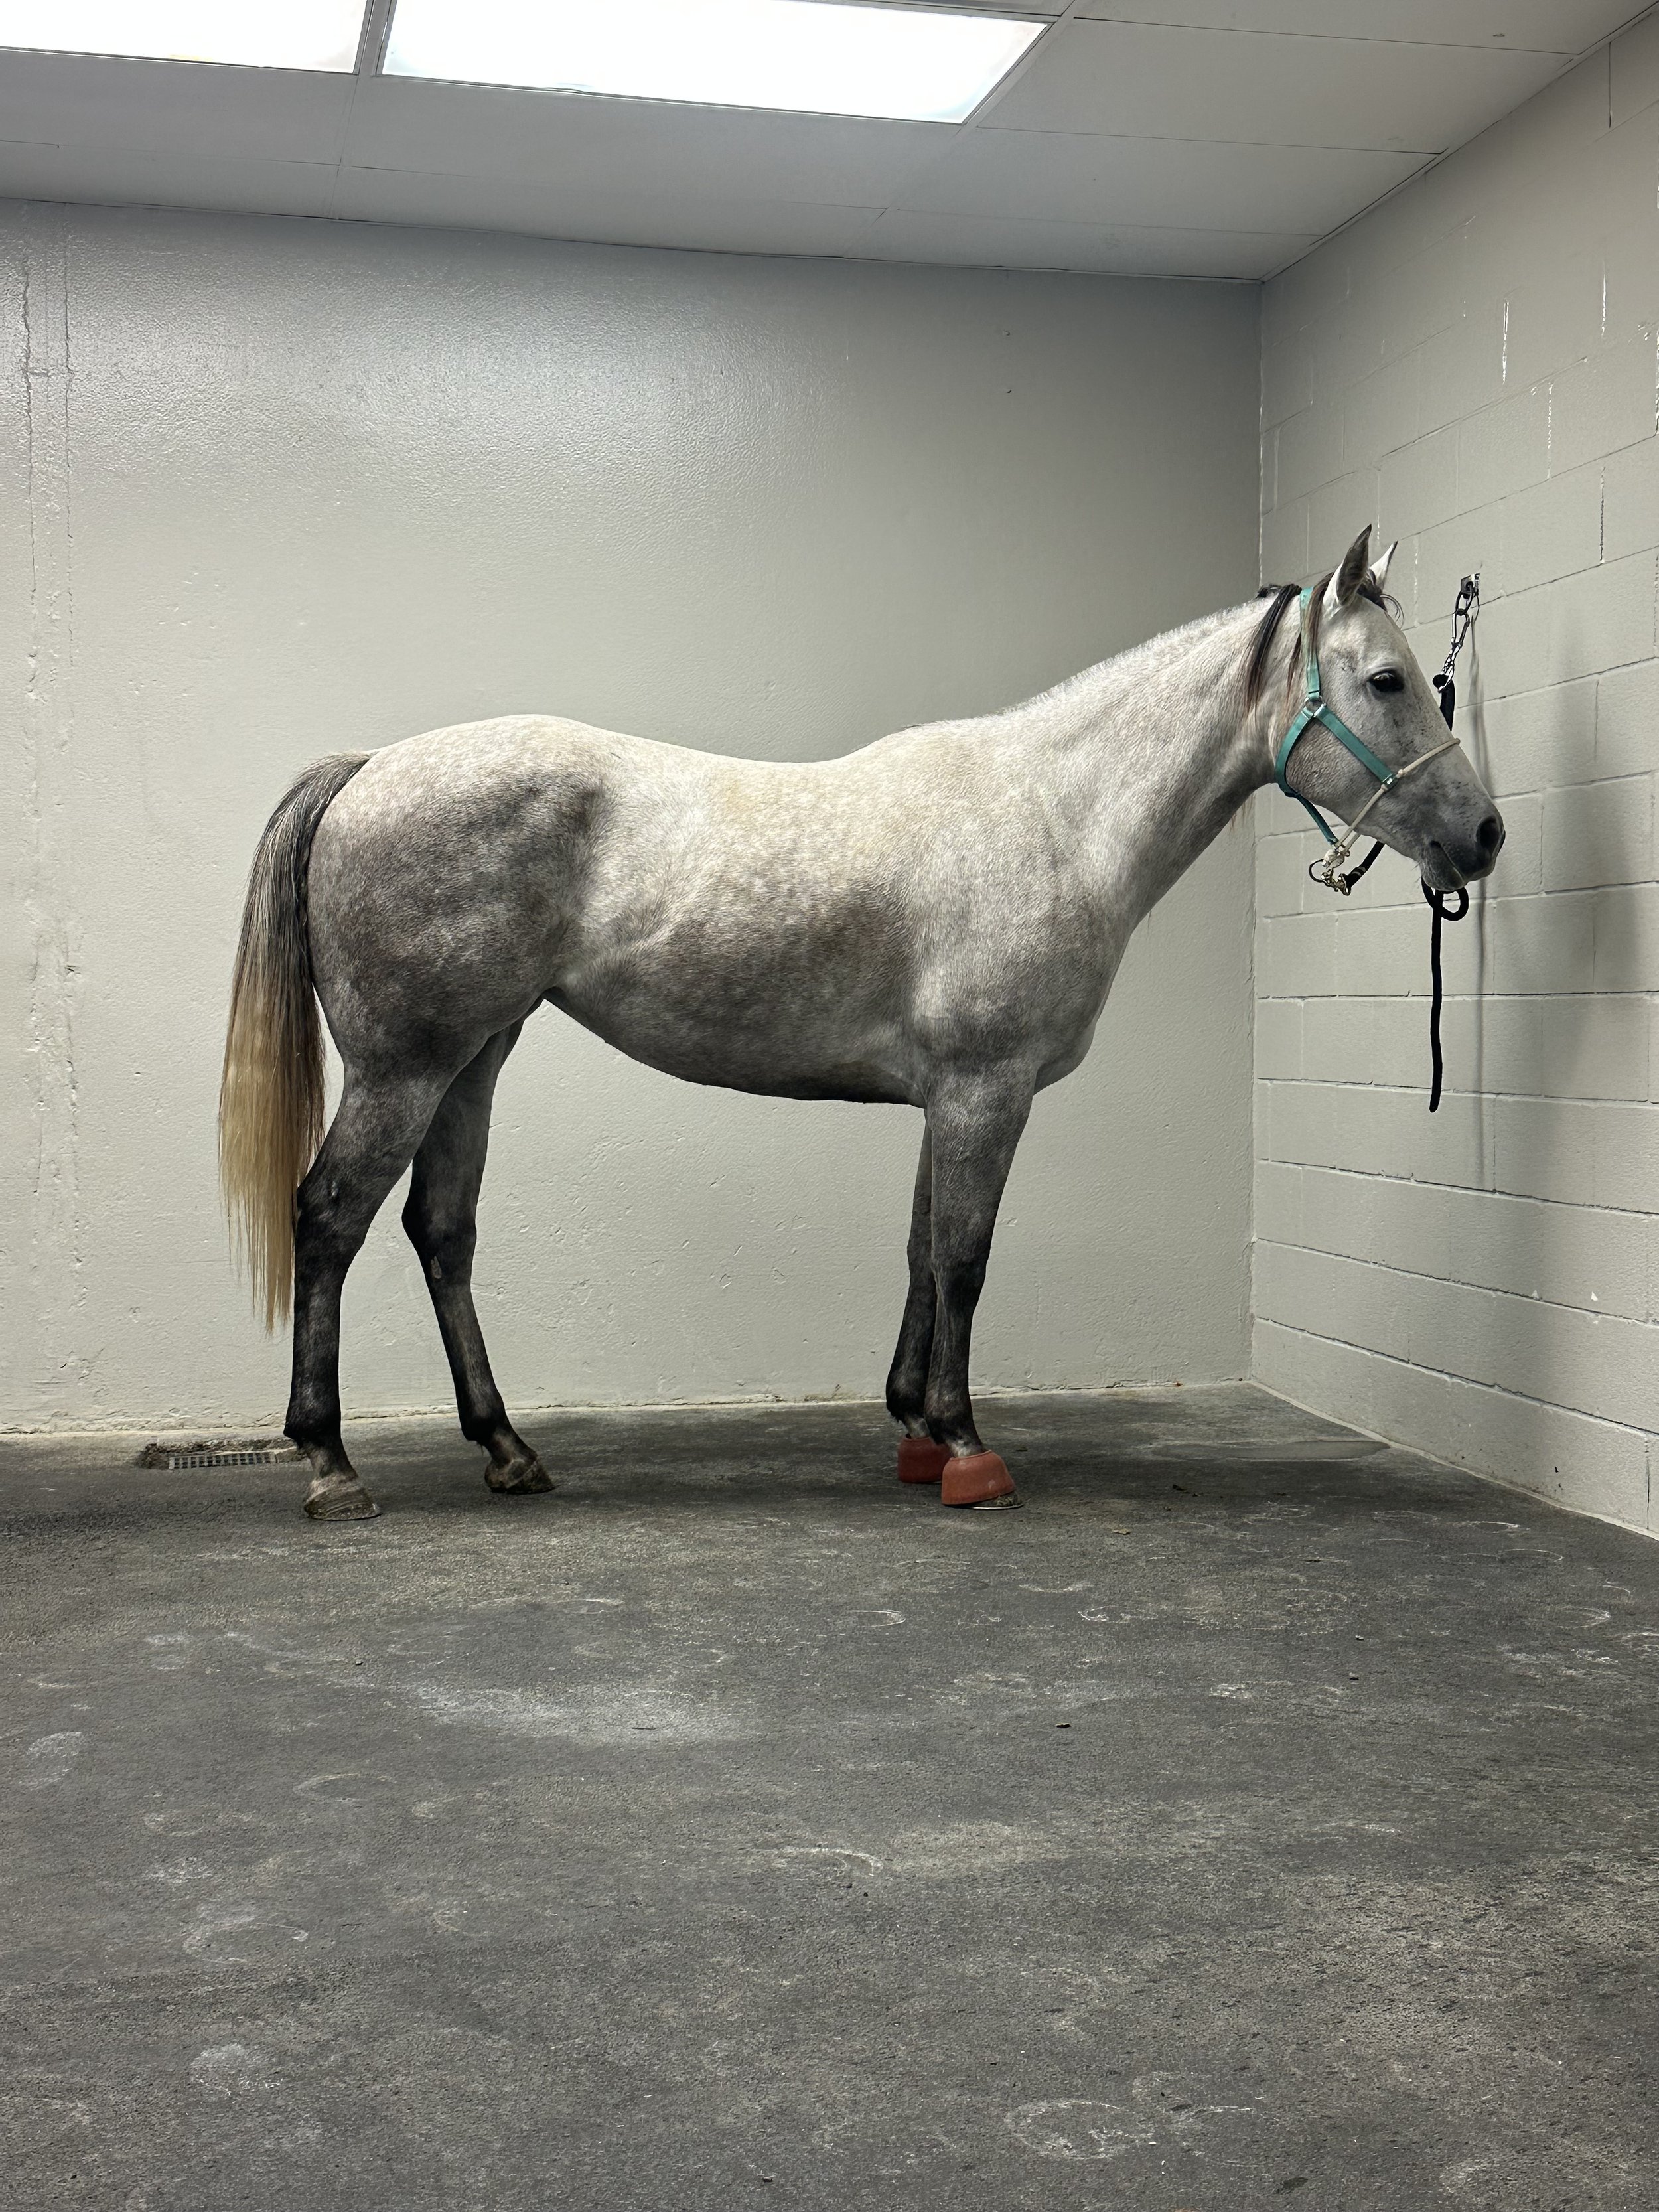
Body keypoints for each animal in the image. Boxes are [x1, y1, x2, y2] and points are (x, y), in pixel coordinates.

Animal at [220, 526, 1504, 1521]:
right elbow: (967, 1257)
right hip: (405, 1067)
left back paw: (506, 1447)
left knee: (442, 1232)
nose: (1484, 836)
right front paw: (969, 1447)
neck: (1057, 815)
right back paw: (331, 1463)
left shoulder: (951, 1096)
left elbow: (924, 1248)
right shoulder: (988, 1089)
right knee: (328, 1218)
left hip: (473, 1060)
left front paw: (917, 1432)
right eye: (1388, 681)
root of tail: (368, 771)